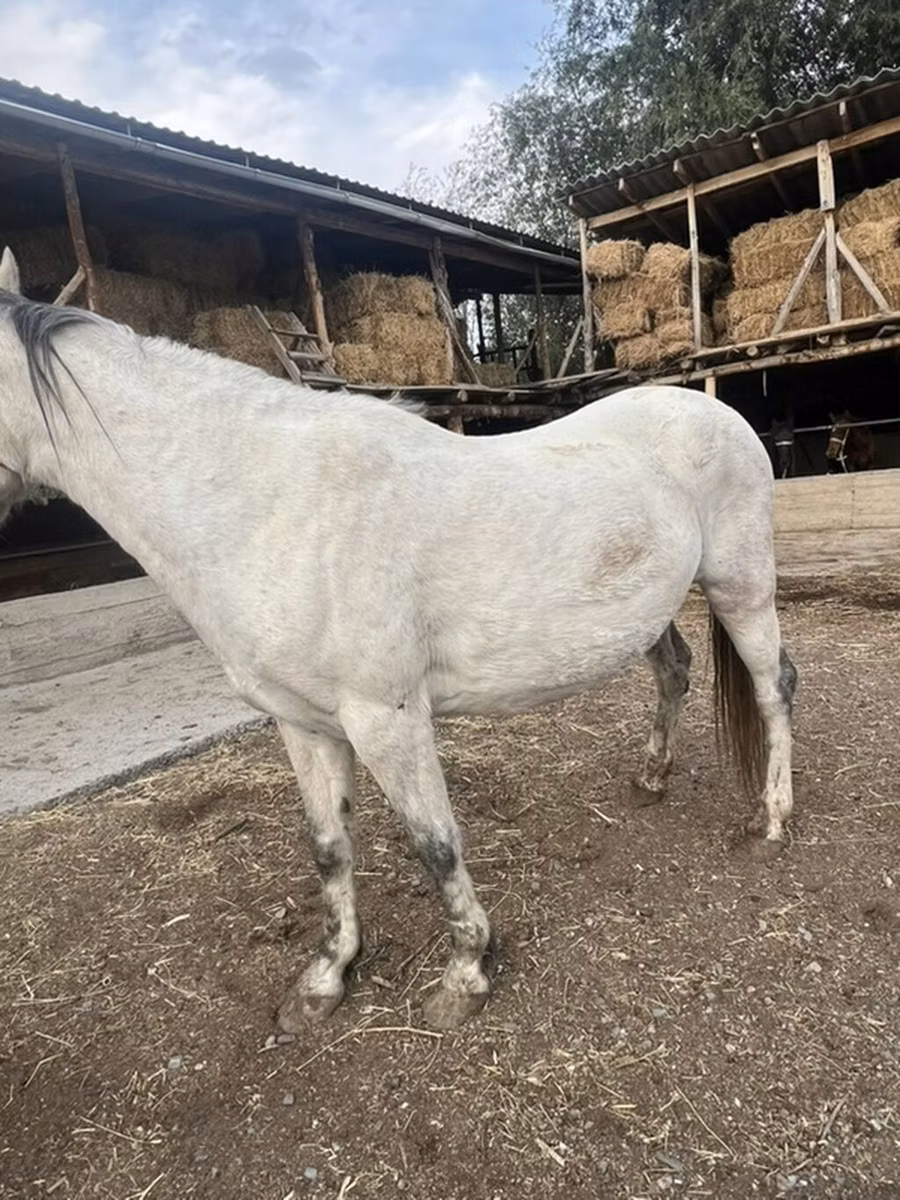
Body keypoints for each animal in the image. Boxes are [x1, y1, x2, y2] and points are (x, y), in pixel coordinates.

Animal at [0, 246, 796, 1033]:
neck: (271, 503)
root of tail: (715, 412)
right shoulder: (304, 724)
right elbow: (329, 848)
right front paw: (326, 979)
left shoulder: (387, 718)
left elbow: (434, 843)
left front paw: (466, 974)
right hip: (649, 614)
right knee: (675, 672)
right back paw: (652, 777)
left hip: (741, 589)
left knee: (774, 687)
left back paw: (773, 820)